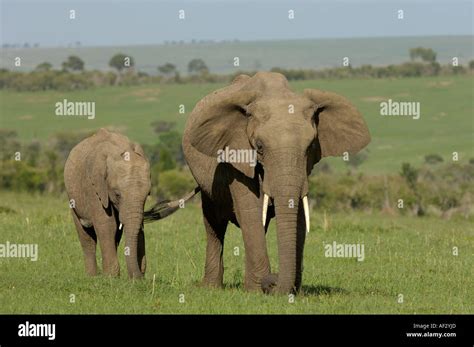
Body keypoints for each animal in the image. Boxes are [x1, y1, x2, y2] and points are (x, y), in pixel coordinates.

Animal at [181, 72, 370, 294]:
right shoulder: (235, 155)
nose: (273, 281)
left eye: (310, 146)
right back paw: (211, 287)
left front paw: (285, 291)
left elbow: (297, 213)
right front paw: (256, 291)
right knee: (214, 223)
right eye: (259, 147)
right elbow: (251, 211)